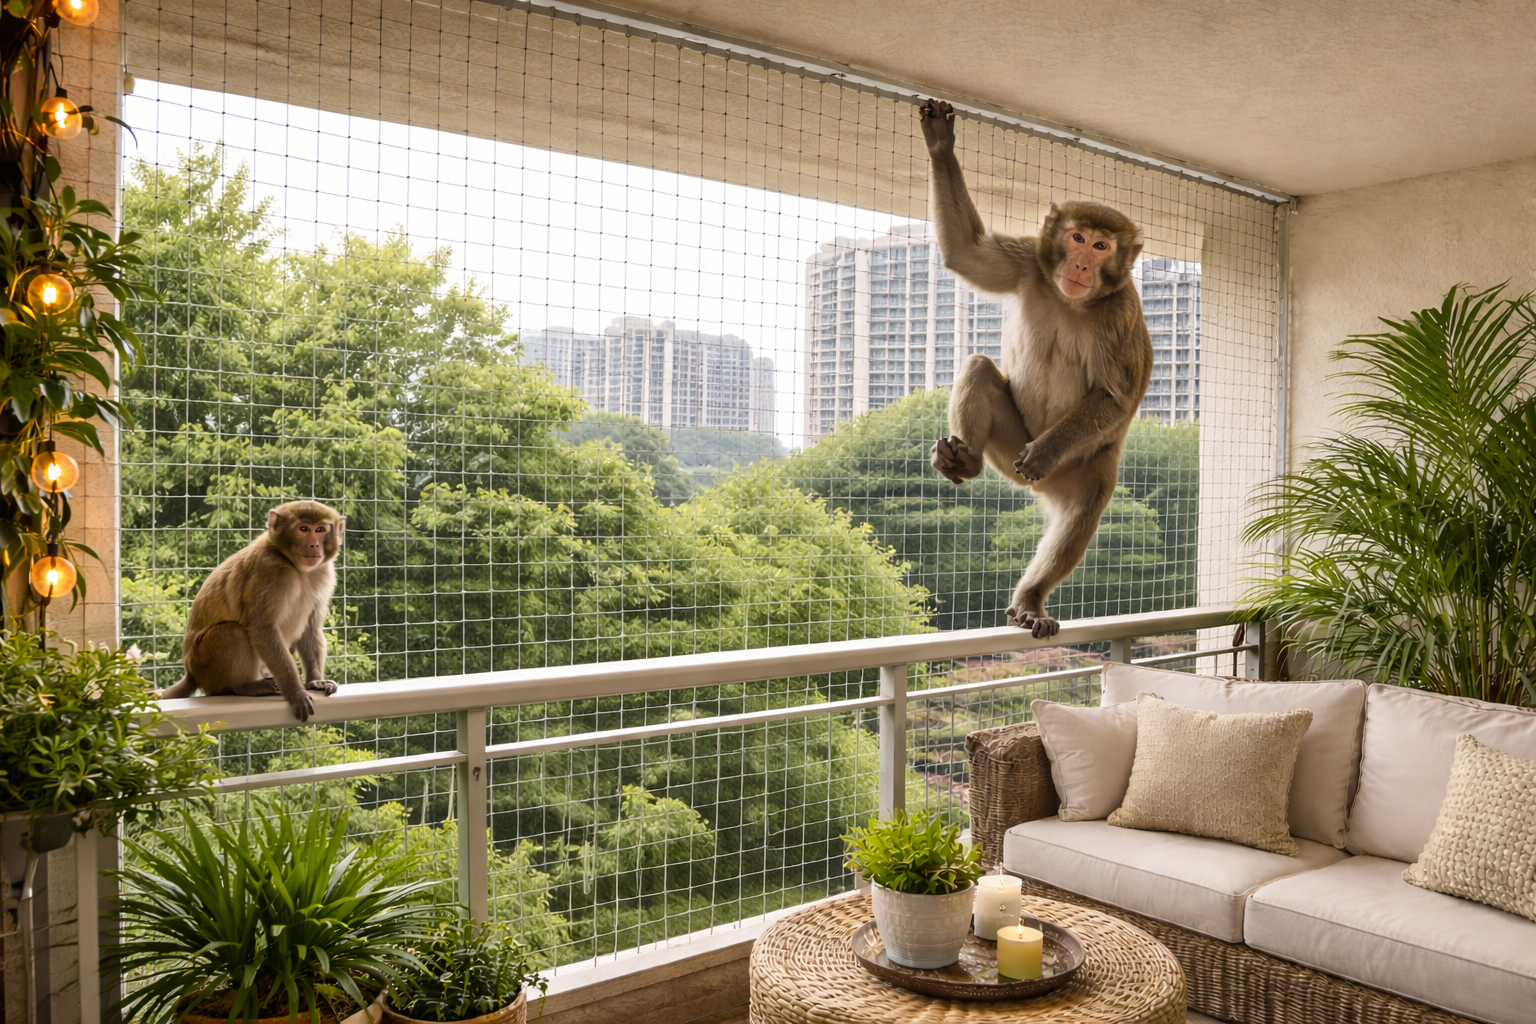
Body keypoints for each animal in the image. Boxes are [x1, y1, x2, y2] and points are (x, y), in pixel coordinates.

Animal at [159, 500, 346, 721]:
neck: (294, 566)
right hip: (205, 665)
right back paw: (244, 686)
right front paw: (295, 692)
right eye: (303, 529)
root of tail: (191, 674)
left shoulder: (324, 573)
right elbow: (261, 629)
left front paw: (315, 681)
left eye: (320, 529)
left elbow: (311, 628)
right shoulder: (271, 571)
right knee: (233, 632)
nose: (314, 545)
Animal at [919, 99, 1153, 640]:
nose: (1082, 266)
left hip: (1080, 465)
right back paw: (964, 461)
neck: (1074, 301)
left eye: (1102, 247)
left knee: (1082, 511)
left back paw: (1031, 598)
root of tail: (1038, 489)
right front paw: (940, 142)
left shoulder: (1119, 313)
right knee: (980, 368)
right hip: (1008, 451)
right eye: (1078, 237)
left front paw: (1046, 448)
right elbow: (966, 250)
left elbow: (1114, 396)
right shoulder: (1030, 260)